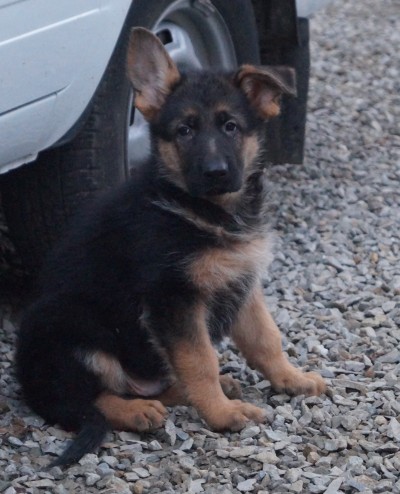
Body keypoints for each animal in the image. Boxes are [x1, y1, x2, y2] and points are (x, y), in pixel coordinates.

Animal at [17, 28, 326, 466]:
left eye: (231, 127)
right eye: (184, 131)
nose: (215, 172)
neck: (203, 210)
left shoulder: (242, 281)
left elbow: (266, 338)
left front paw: (291, 379)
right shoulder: (174, 299)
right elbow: (199, 360)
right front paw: (221, 415)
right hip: (68, 325)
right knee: (84, 400)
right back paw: (136, 411)